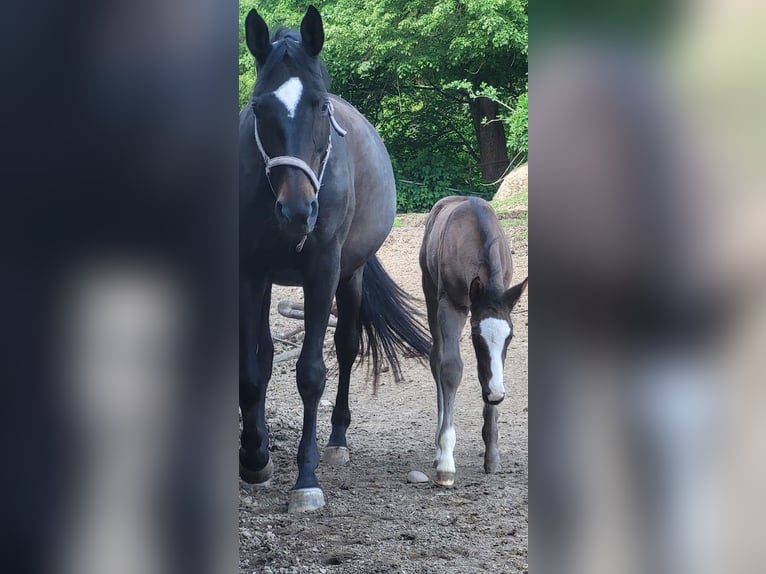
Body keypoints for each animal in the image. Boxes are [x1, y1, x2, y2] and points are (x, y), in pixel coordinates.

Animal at [240, 6, 432, 512]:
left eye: (320, 106)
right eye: (259, 108)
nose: (297, 210)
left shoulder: (322, 274)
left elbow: (311, 373)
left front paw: (306, 479)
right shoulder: (249, 273)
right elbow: (252, 369)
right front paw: (254, 456)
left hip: (352, 276)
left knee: (346, 346)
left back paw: (337, 440)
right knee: (268, 354)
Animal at [420, 197, 528, 486]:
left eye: (510, 336)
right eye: (476, 336)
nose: (498, 395)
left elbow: (489, 373)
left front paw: (492, 456)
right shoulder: (451, 304)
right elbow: (450, 369)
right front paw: (446, 461)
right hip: (431, 293)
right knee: (437, 358)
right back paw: (438, 447)